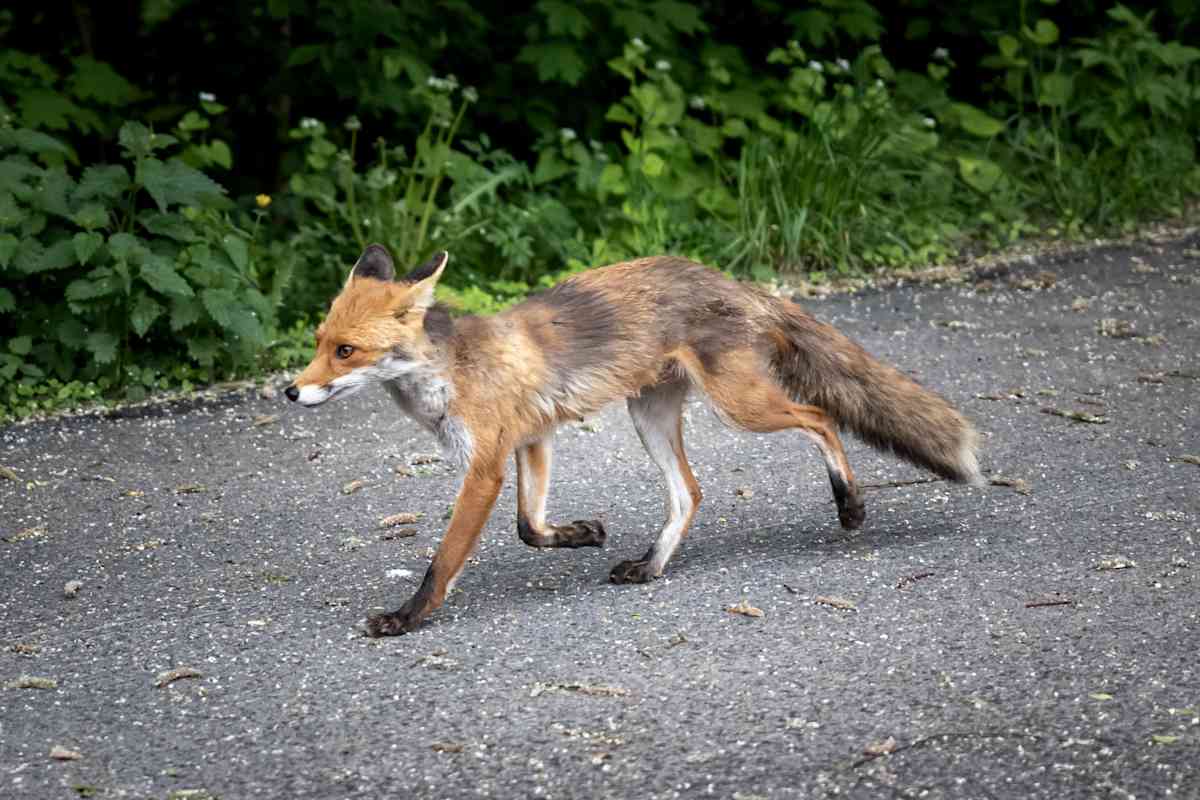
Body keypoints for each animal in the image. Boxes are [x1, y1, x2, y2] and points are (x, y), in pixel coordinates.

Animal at [283, 244, 984, 638]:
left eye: (345, 352)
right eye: (318, 342)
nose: (289, 392)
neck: (448, 371)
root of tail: (731, 282)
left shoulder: (485, 465)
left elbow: (444, 562)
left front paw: (406, 618)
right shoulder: (533, 439)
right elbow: (529, 528)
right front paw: (578, 534)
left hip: (741, 406)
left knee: (820, 418)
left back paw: (849, 504)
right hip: (650, 417)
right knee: (691, 492)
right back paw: (651, 565)